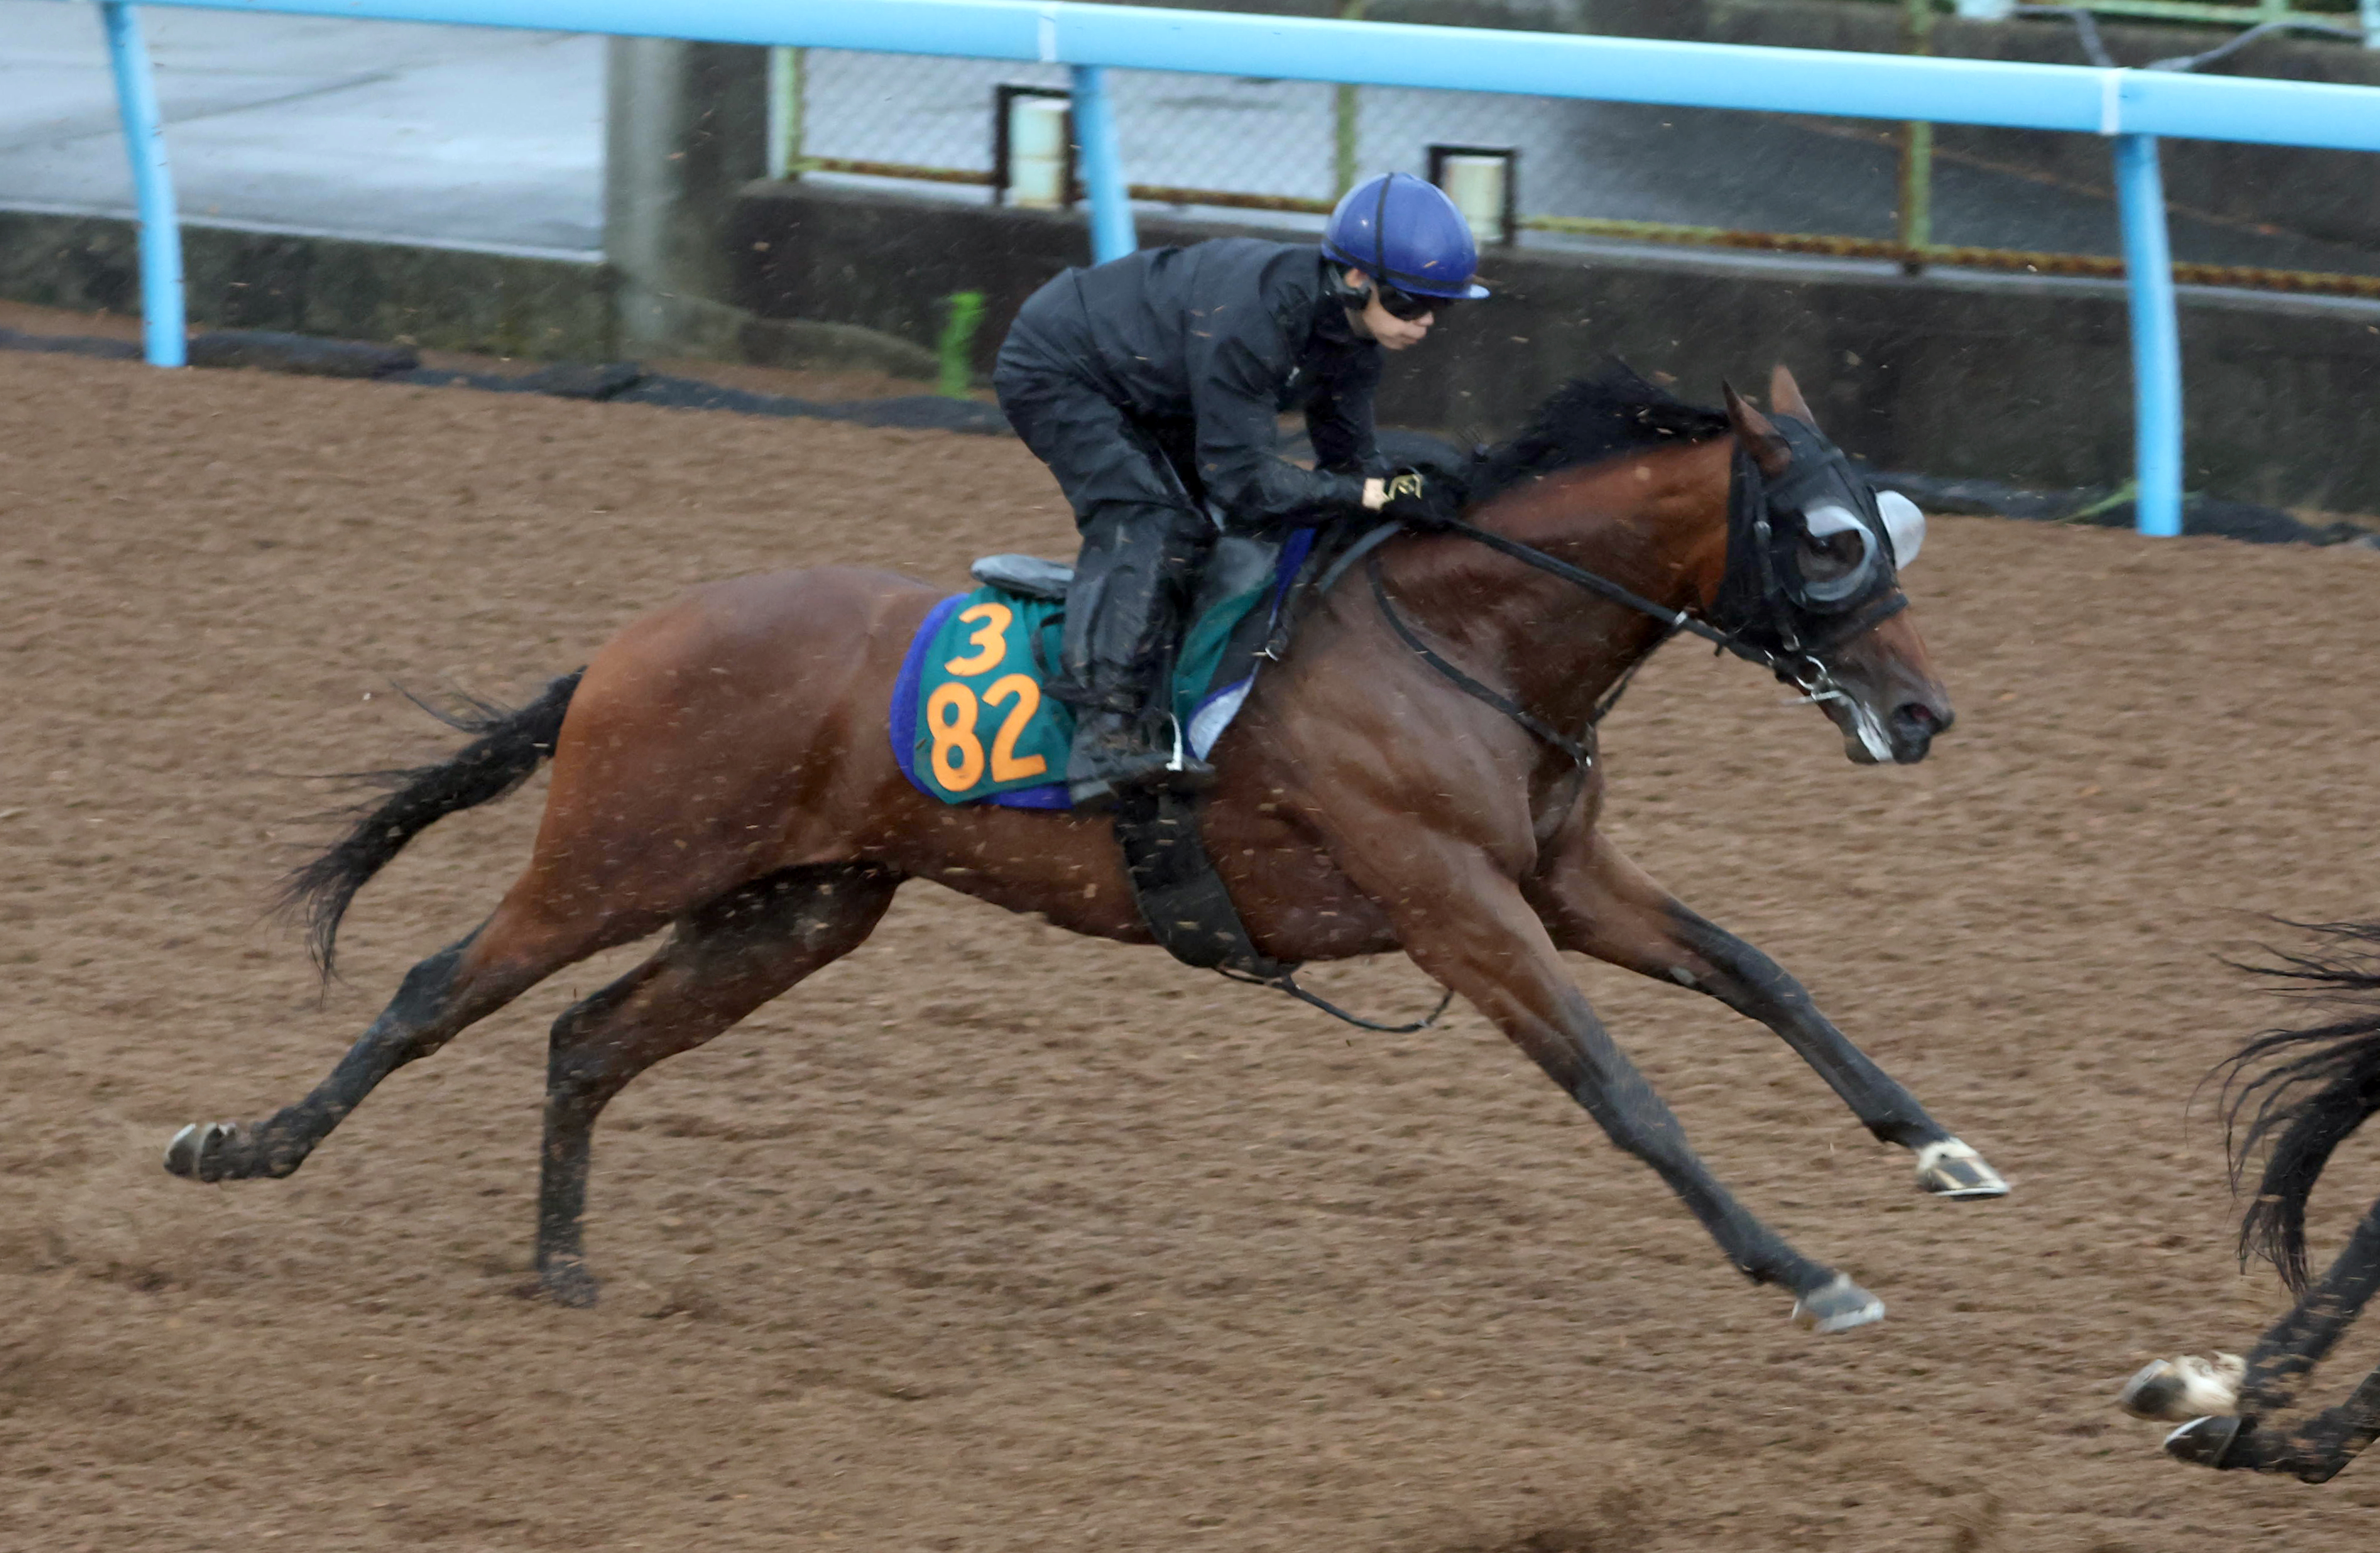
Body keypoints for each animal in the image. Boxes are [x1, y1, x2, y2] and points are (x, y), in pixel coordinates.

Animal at [162, 362, 2008, 1326]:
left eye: (1889, 522)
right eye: (1828, 539)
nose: (1922, 715)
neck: (1465, 640)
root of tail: (635, 638)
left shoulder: (1563, 879)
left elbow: (1763, 976)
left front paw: (1936, 1147)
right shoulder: (1454, 905)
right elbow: (1622, 1090)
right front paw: (1797, 1268)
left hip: (796, 909)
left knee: (582, 1038)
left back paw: (559, 1263)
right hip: (620, 855)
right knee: (436, 986)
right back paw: (237, 1150)